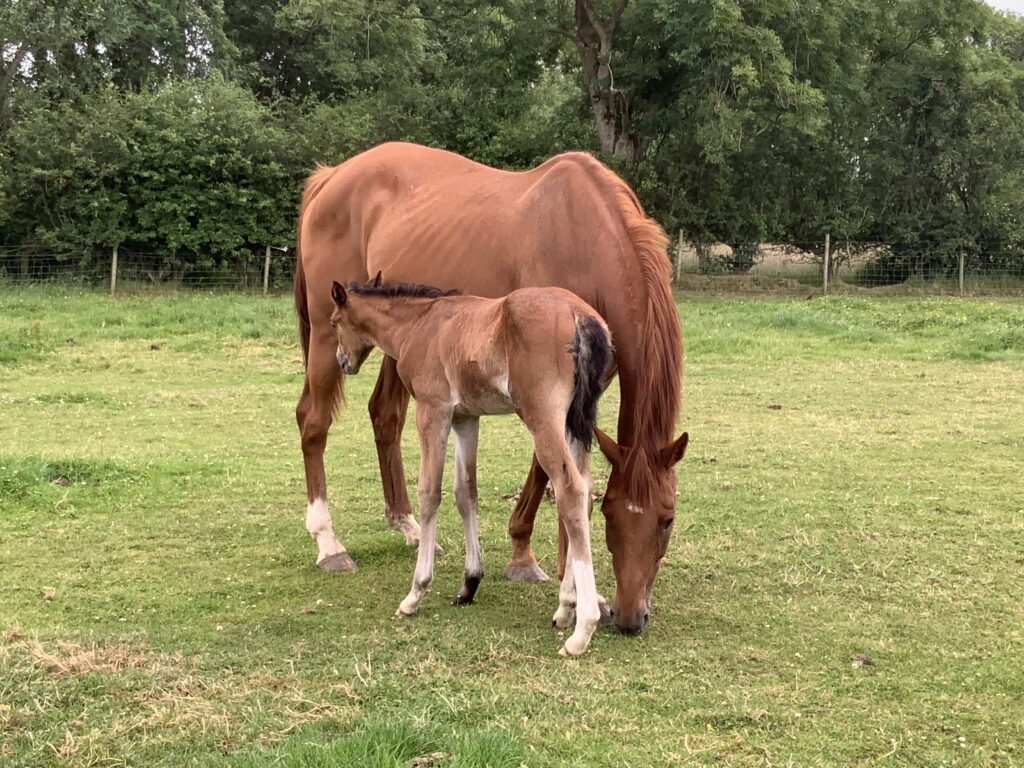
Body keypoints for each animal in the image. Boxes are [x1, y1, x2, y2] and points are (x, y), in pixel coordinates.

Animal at [328, 275, 613, 655]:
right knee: (584, 491)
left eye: (334, 323)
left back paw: (582, 629)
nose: (342, 361)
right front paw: (470, 583)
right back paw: (566, 605)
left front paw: (415, 593)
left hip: (543, 417)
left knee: (570, 489)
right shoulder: (466, 418)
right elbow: (466, 493)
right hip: (574, 421)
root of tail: (578, 314)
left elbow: (429, 492)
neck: (418, 325)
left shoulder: (433, 411)